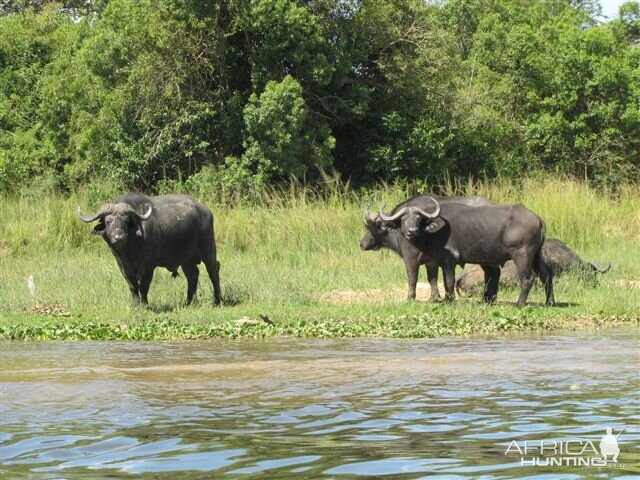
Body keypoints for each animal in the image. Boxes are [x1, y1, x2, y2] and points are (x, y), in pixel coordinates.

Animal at [79, 193, 222, 306]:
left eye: (126, 221)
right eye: (108, 221)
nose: (119, 237)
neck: (130, 250)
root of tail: (206, 211)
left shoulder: (148, 266)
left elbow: (144, 286)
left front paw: (145, 304)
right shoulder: (122, 266)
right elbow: (133, 286)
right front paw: (136, 305)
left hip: (208, 248)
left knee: (213, 272)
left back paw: (217, 300)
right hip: (186, 259)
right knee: (193, 275)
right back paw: (187, 302)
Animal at [360, 194, 496, 300]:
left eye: (370, 228)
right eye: (403, 220)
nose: (362, 244)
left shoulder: (410, 258)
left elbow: (412, 277)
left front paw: (410, 298)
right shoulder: (431, 261)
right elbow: (432, 278)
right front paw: (435, 297)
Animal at [380, 197, 556, 306]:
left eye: (418, 219)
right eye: (403, 220)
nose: (412, 231)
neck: (432, 231)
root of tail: (536, 218)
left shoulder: (449, 260)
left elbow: (449, 280)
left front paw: (449, 299)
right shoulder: (440, 262)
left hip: (522, 255)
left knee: (528, 277)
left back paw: (520, 303)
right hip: (536, 254)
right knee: (546, 274)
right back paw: (550, 302)